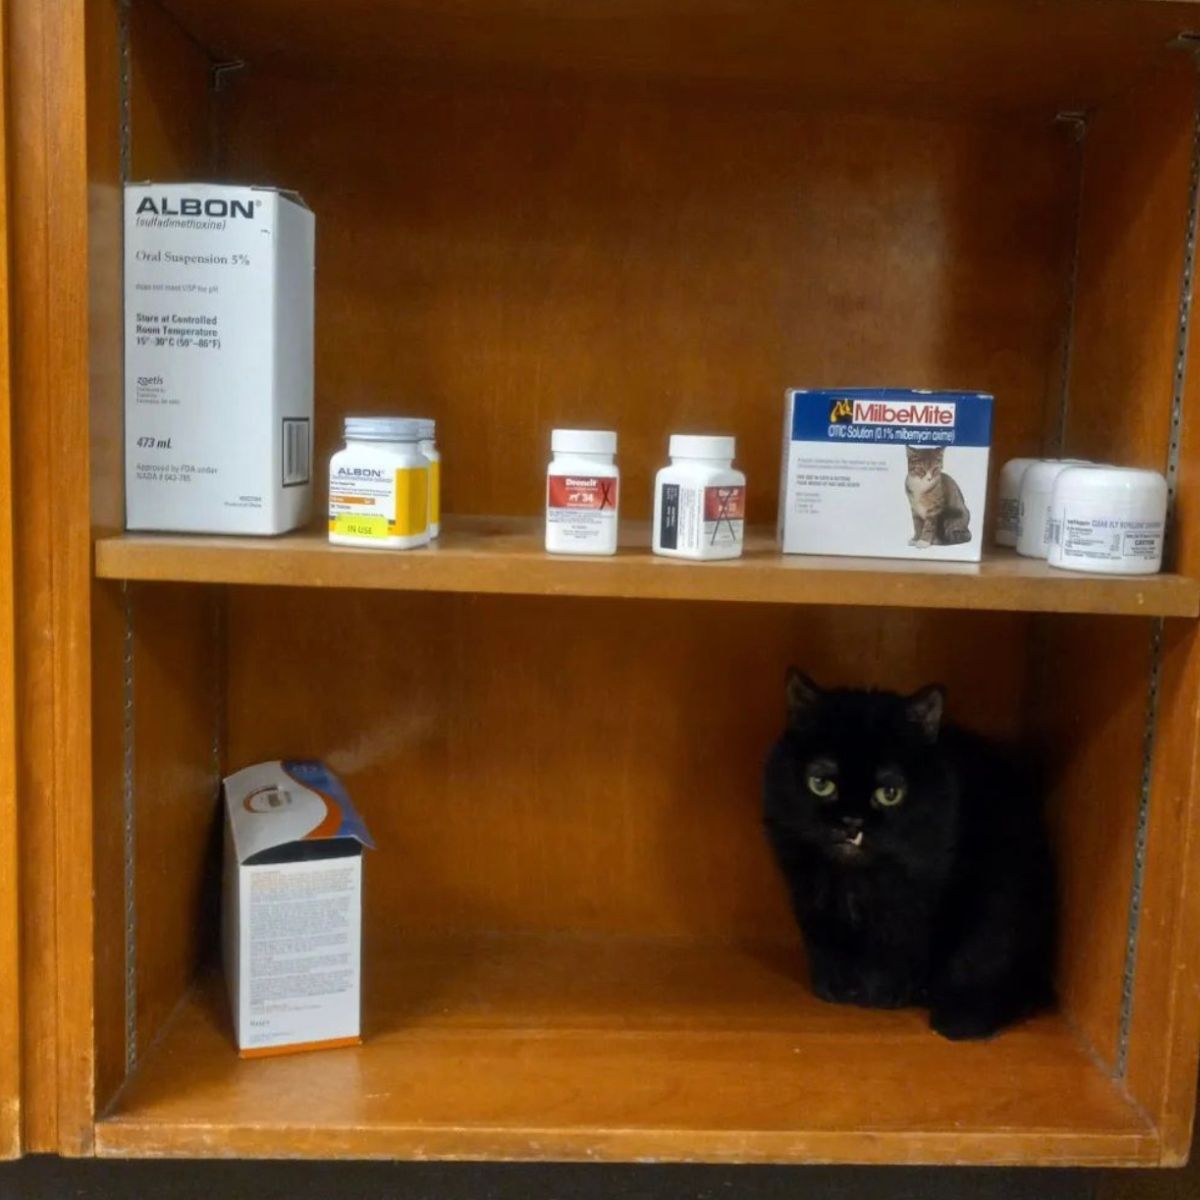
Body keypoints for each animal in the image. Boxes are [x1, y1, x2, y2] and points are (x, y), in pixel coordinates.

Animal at [763, 672, 1056, 1036]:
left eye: (890, 793)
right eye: (821, 783)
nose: (851, 823)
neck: (857, 883)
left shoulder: (917, 901)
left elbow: (899, 949)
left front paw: (883, 995)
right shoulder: (809, 891)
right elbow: (824, 941)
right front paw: (833, 989)